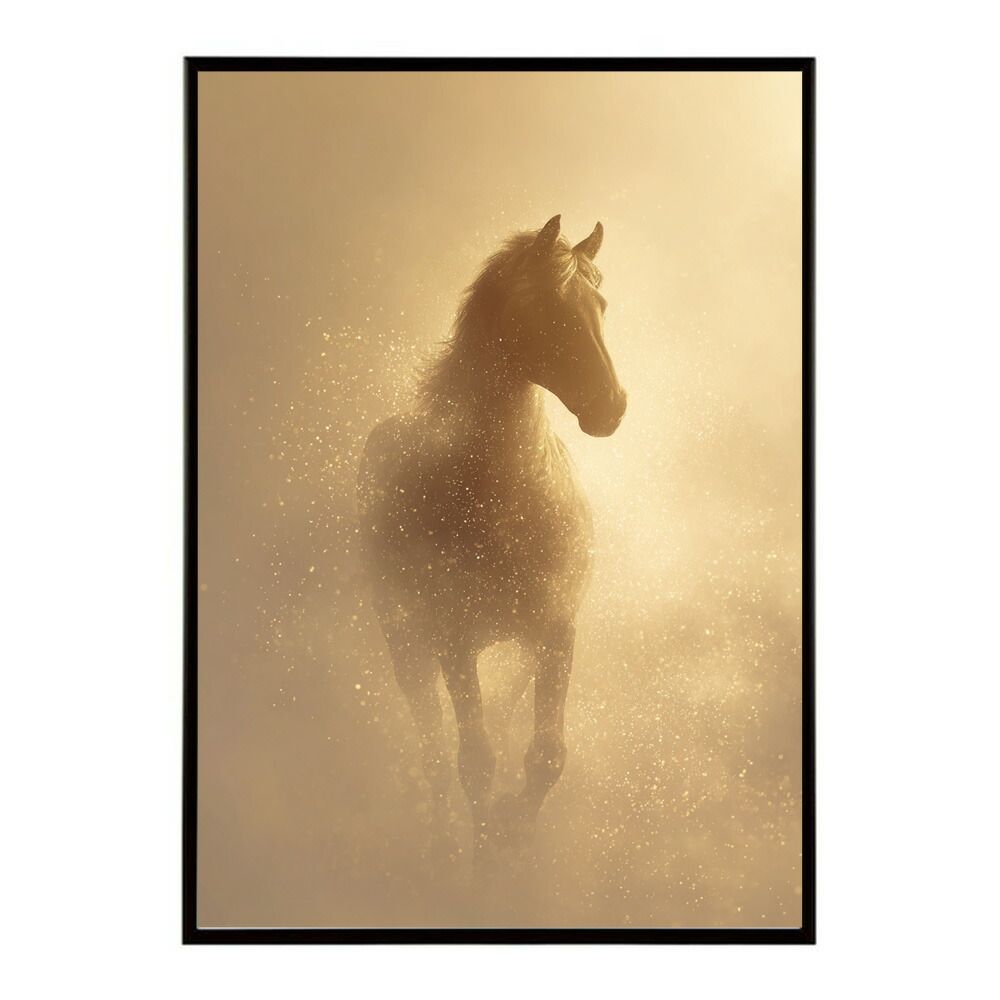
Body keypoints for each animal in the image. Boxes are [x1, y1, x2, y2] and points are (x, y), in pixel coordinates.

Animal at [358, 215, 627, 864]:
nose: (610, 406)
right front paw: (482, 862)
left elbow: (544, 757)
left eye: (600, 305)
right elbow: (472, 761)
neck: (507, 497)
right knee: (433, 749)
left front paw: (514, 839)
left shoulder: (556, 632)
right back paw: (439, 844)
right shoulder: (453, 640)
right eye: (545, 307)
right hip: (407, 641)